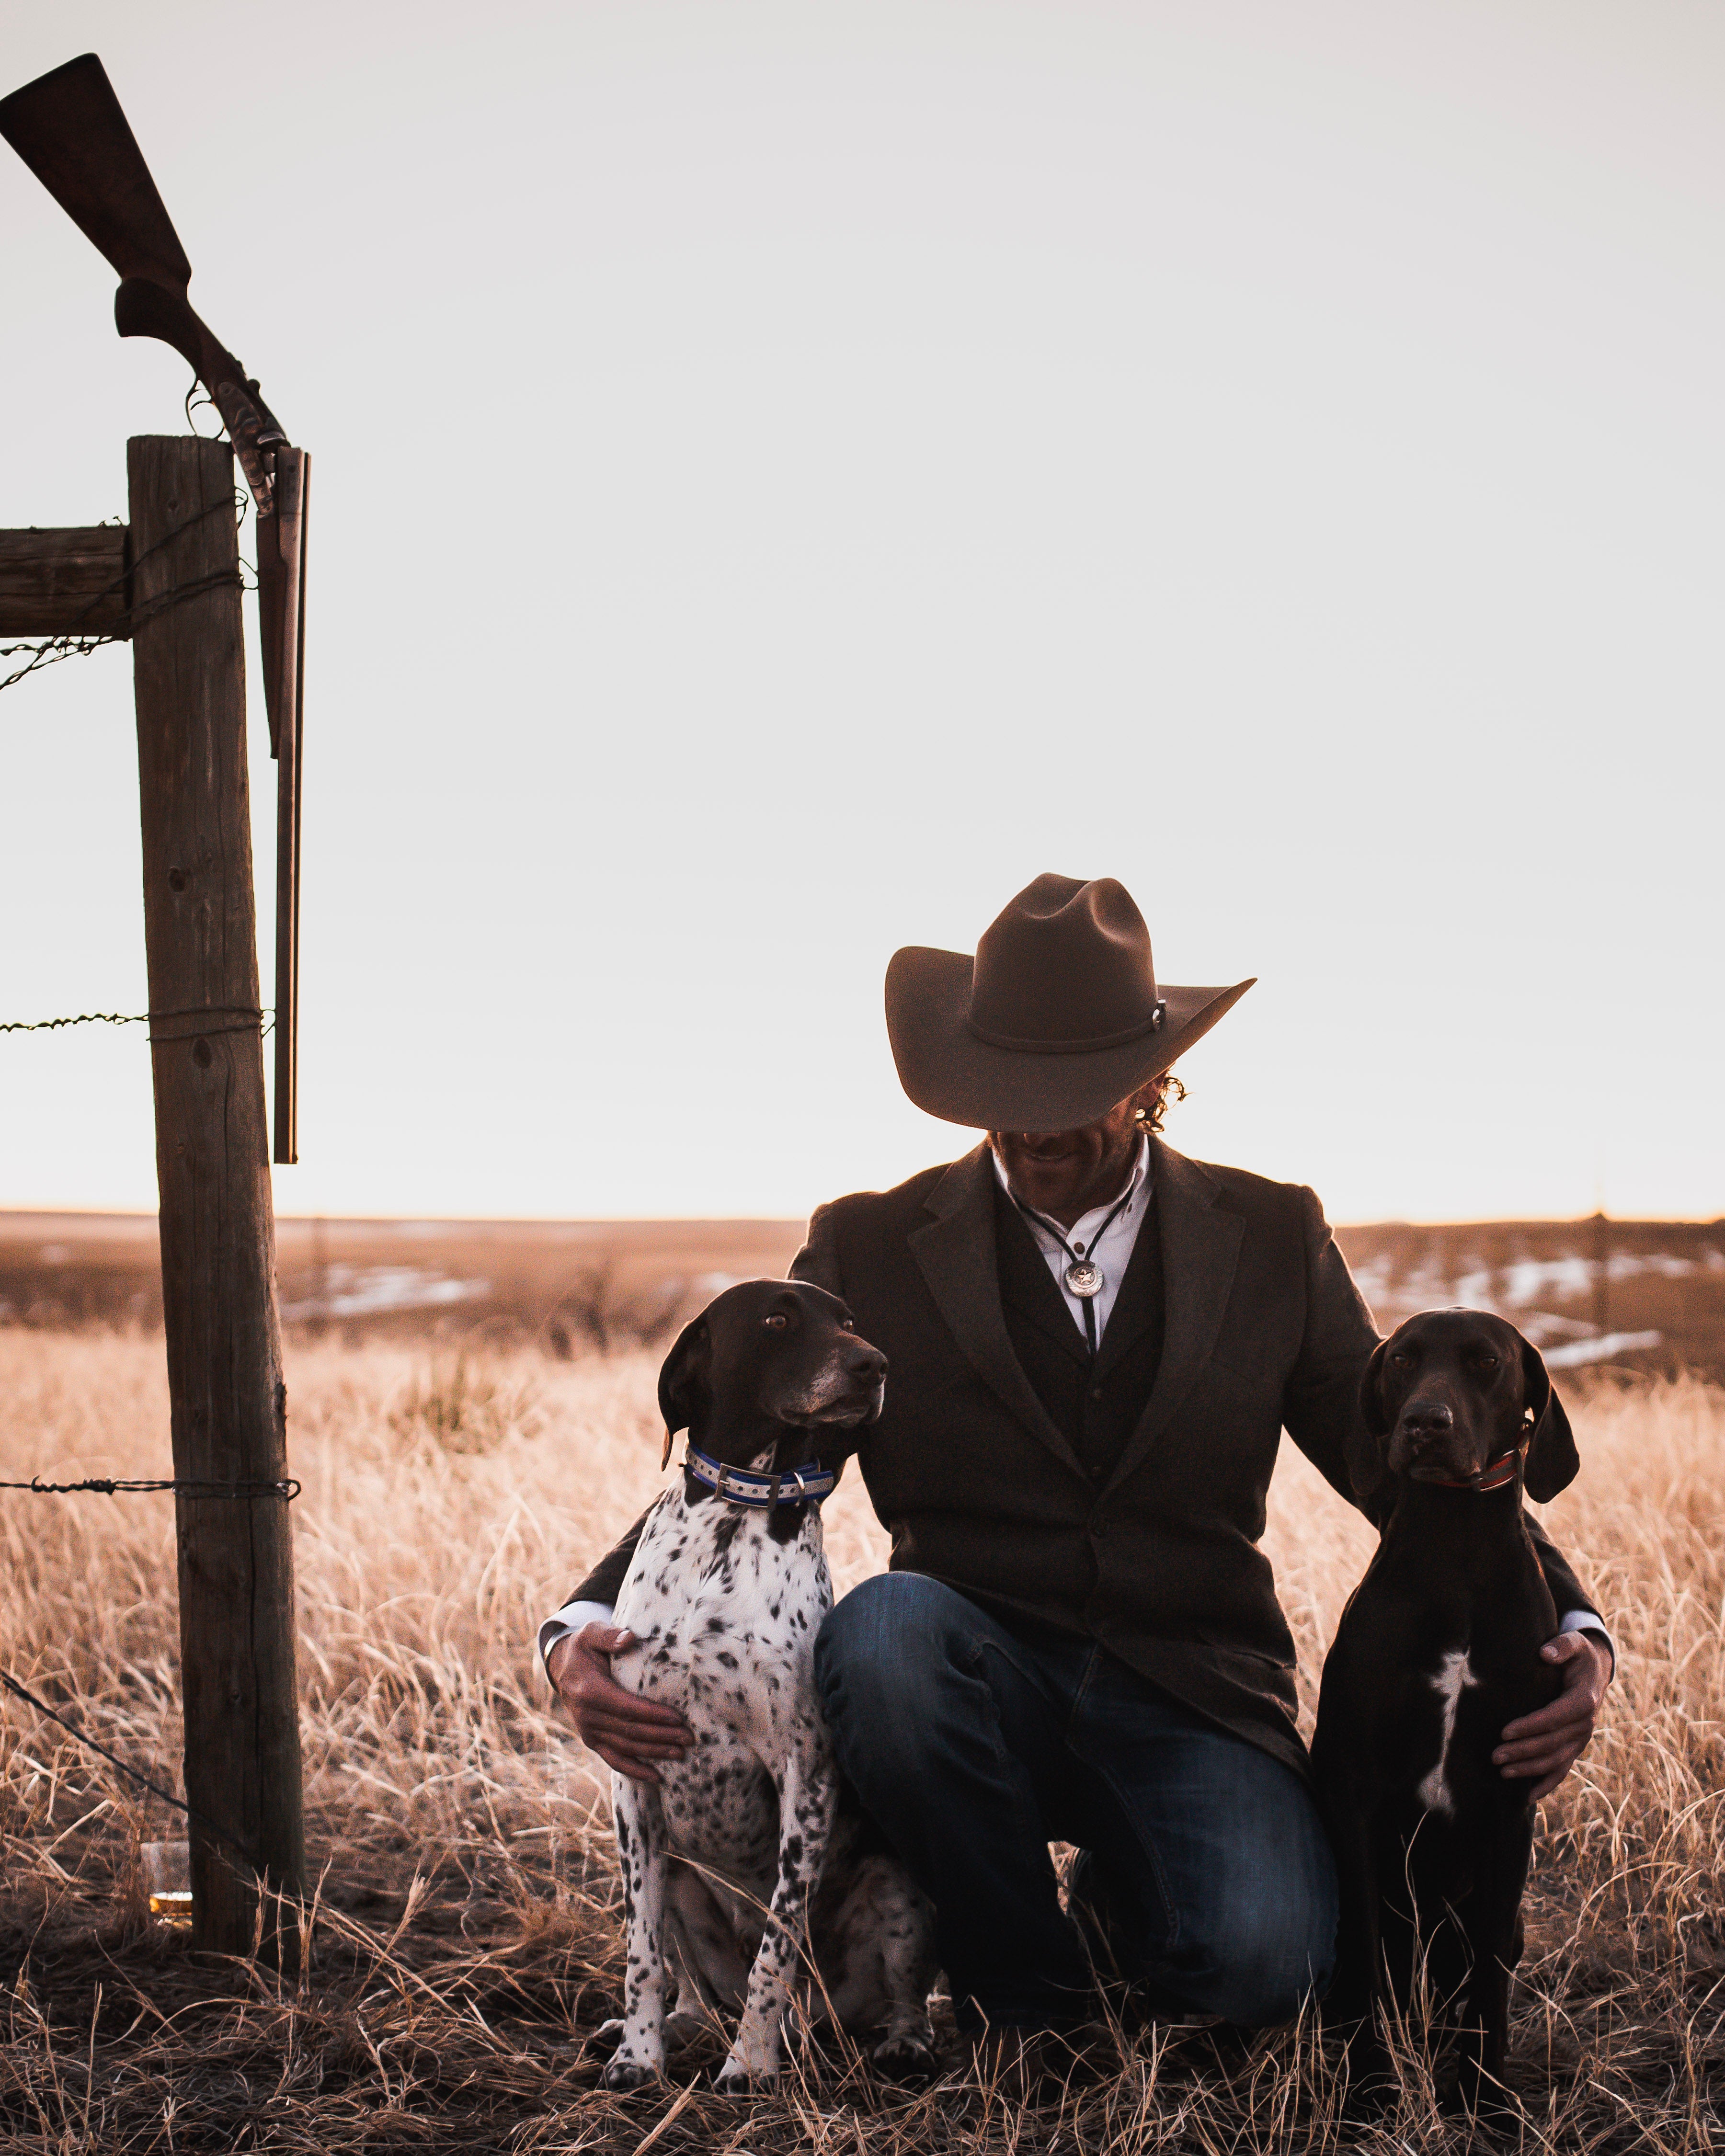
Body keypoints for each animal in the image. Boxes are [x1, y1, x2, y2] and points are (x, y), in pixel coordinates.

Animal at [599, 1276, 936, 2087]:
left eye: (849, 1319)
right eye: (777, 1319)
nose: (874, 1365)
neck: (733, 1516)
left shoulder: (803, 1778)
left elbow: (775, 1951)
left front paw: (750, 2065)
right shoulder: (633, 1785)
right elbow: (641, 1956)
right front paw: (638, 2055)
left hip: (898, 1888)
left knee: (895, 1995)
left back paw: (897, 2040)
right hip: (679, 1875)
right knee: (690, 1981)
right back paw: (681, 2023)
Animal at [1311, 1302, 1587, 2112]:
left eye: (1486, 1362)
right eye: (1402, 1358)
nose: (1425, 1423)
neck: (1455, 1553)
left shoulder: (1509, 1807)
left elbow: (1492, 1979)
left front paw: (1485, 2097)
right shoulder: (1355, 1797)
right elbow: (1367, 1958)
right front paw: (1372, 2091)